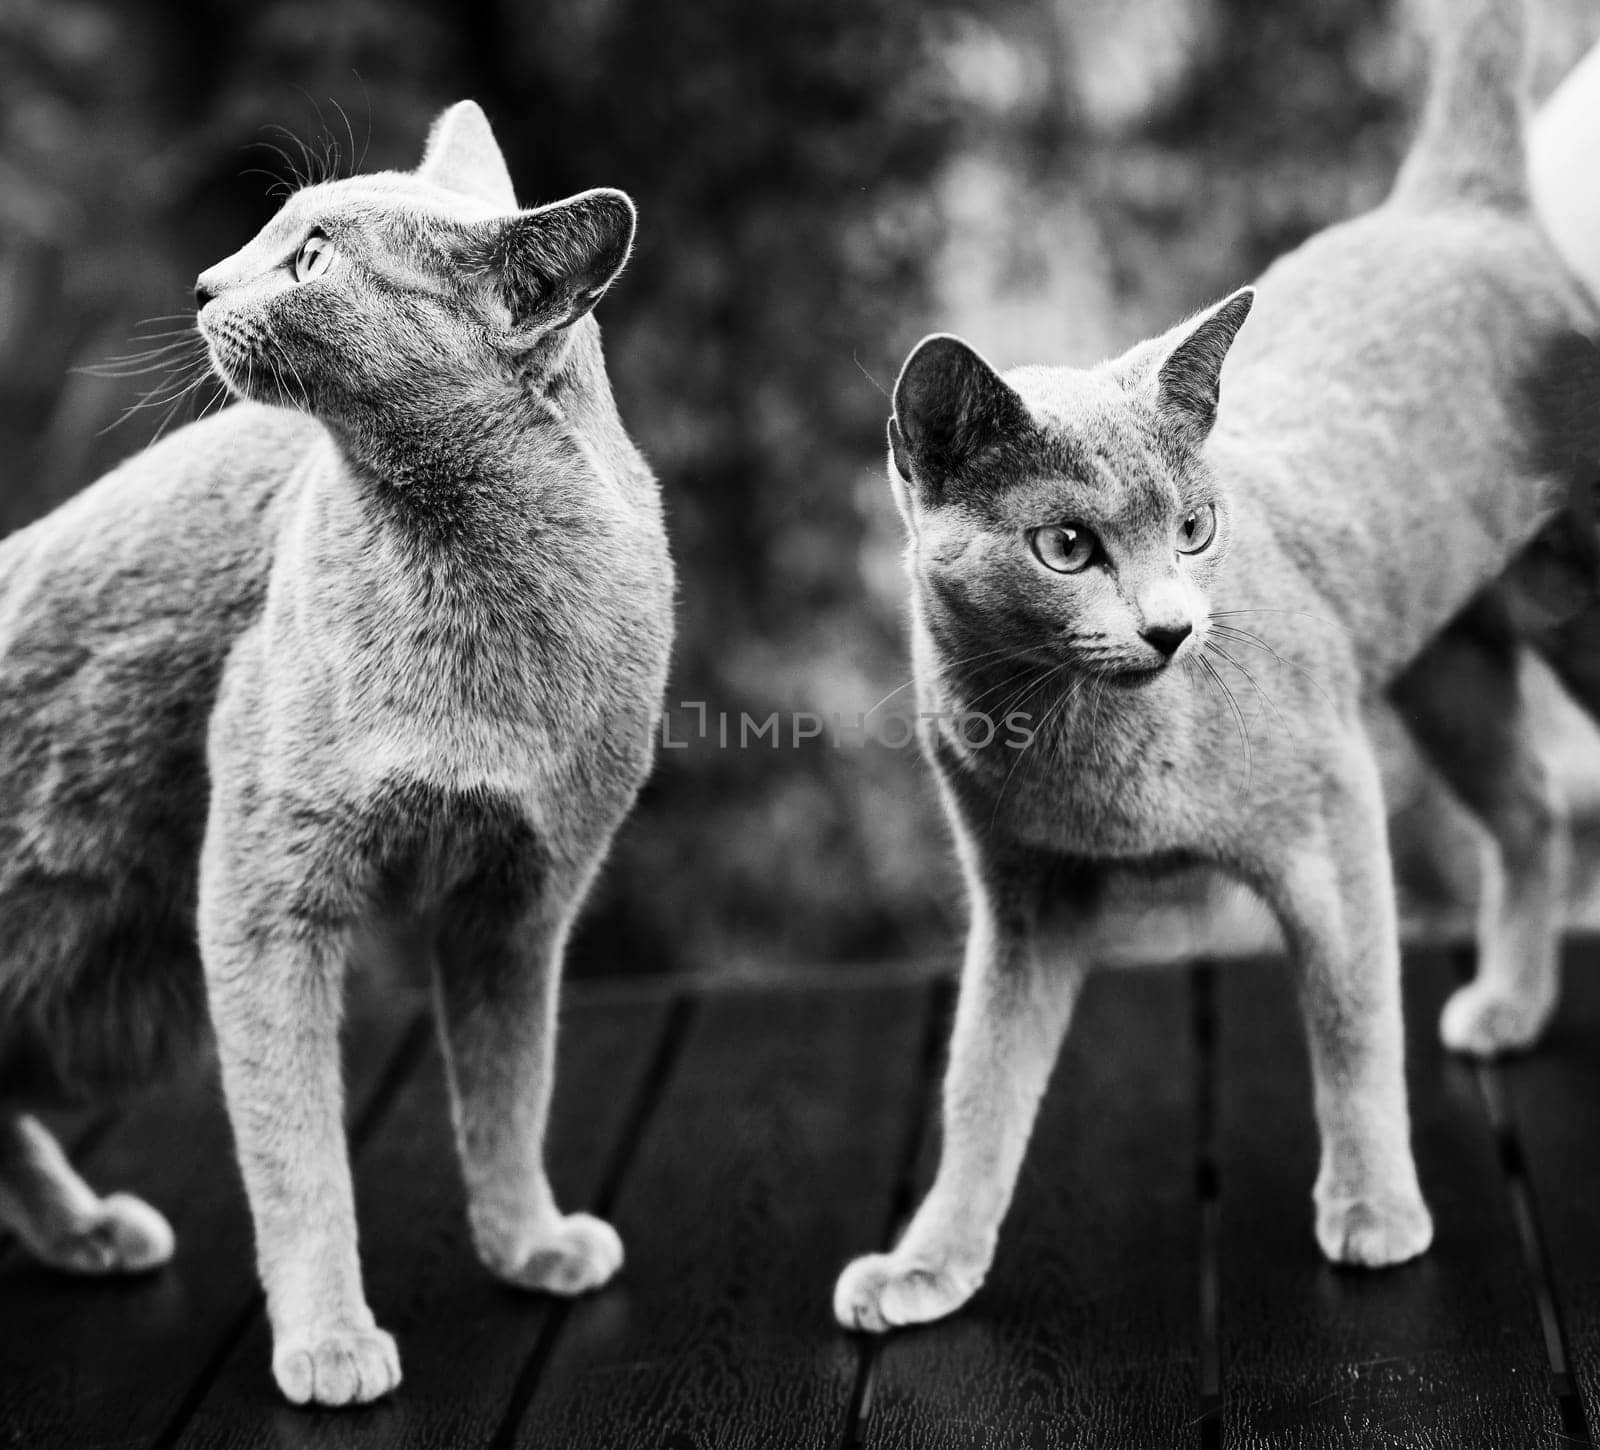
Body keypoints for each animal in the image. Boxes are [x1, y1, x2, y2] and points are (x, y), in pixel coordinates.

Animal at [0, 101, 668, 1401]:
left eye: (313, 256)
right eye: (278, 231)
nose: (205, 282)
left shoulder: (523, 896)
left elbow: (511, 1088)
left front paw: (529, 1242)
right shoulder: (264, 891)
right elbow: (295, 1141)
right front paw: (329, 1340)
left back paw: (86, 1229)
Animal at [838, 0, 1600, 1331]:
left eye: (1194, 527)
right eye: (1066, 546)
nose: (1169, 628)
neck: (1079, 741)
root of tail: (1451, 202)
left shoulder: (1334, 811)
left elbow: (1353, 1022)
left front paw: (1373, 1209)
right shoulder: (1024, 893)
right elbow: (979, 1080)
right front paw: (928, 1262)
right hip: (1442, 667)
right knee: (1532, 806)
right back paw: (1508, 1005)